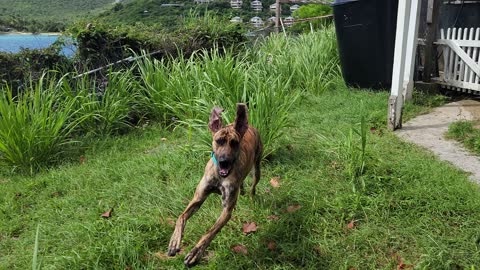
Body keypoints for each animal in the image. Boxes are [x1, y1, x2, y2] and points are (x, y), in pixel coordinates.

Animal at [166, 103, 262, 266]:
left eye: (234, 143)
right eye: (219, 141)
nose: (224, 161)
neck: (219, 175)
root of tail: (250, 127)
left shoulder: (226, 210)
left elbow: (210, 232)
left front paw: (196, 252)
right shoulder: (198, 198)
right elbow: (181, 217)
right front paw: (174, 241)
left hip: (257, 169)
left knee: (253, 186)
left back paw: (251, 197)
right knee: (242, 183)